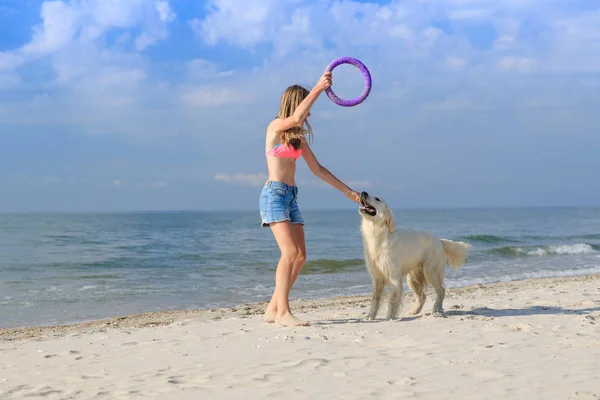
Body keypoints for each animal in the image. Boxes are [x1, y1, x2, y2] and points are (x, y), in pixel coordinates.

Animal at [358, 192, 472, 320]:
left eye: (377, 199)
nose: (363, 193)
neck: (378, 238)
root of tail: (439, 240)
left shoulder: (394, 277)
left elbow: (392, 300)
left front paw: (390, 317)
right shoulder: (377, 278)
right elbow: (375, 299)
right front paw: (370, 316)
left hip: (431, 271)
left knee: (441, 290)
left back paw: (437, 310)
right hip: (413, 278)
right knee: (422, 296)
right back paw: (414, 311)